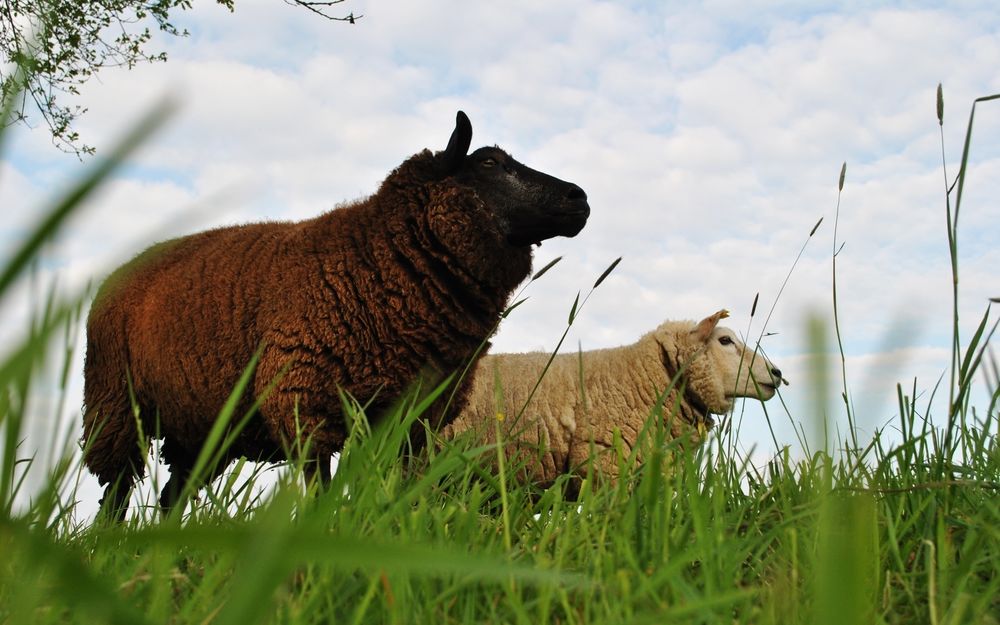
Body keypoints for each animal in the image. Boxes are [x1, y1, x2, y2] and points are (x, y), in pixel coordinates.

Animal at [84, 111, 592, 516]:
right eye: (488, 163)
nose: (579, 198)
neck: (376, 260)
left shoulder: (410, 417)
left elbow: (393, 486)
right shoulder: (303, 401)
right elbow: (320, 492)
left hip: (202, 424)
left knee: (172, 495)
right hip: (115, 407)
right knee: (116, 490)